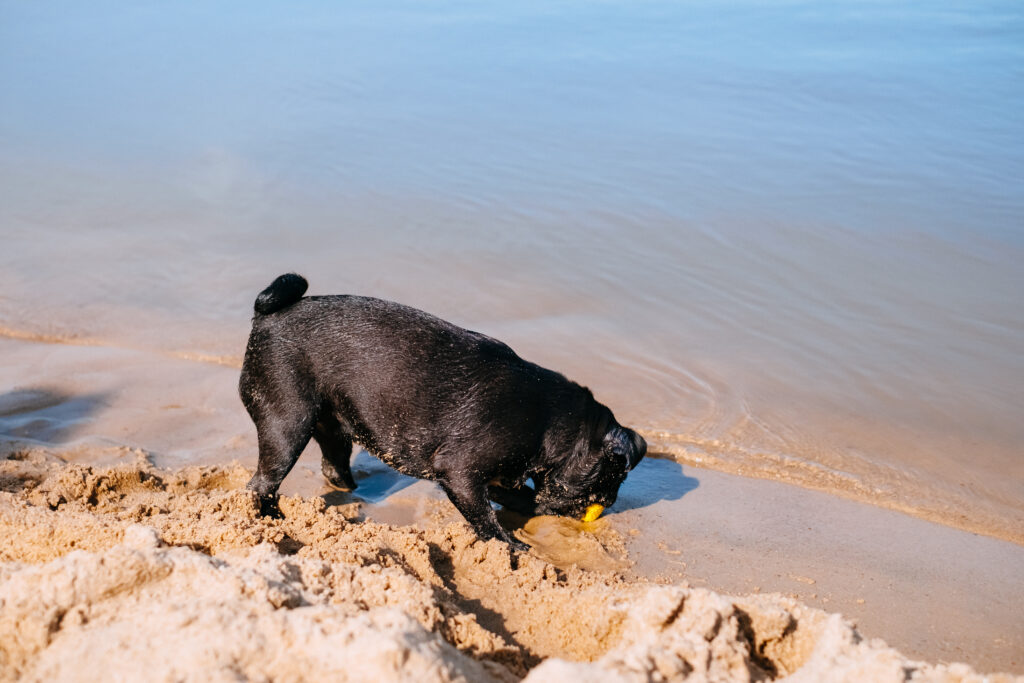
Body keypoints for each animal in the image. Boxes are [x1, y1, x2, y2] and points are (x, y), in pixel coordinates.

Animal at [237, 274, 647, 548]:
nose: (611, 502)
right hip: (287, 426)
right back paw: (272, 521)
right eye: (612, 477)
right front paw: (510, 546)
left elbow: (517, 499)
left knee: (334, 466)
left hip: (332, 426)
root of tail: (268, 316)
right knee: (262, 484)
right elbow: (485, 518)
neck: (554, 423)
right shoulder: (460, 472)